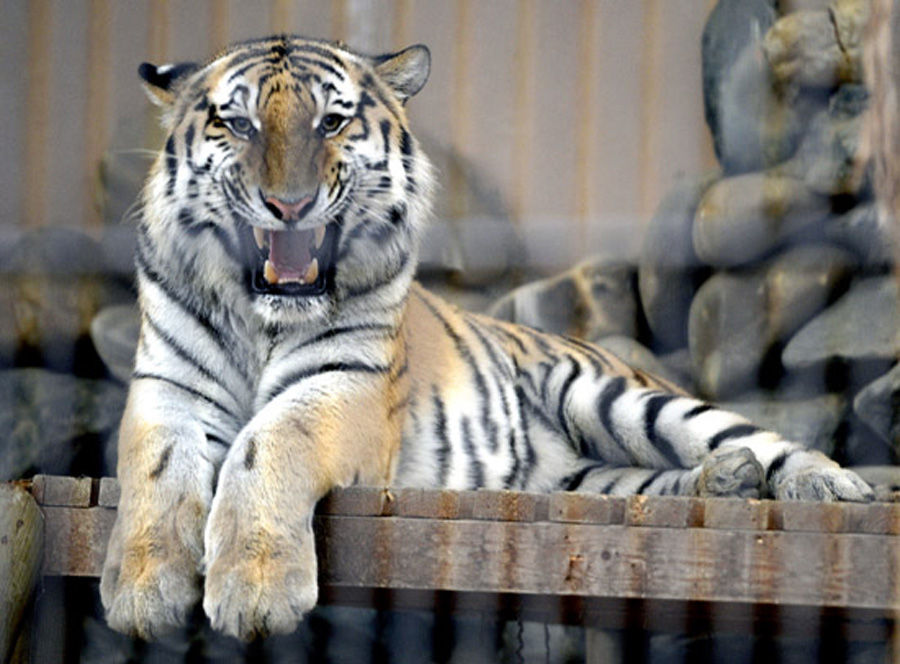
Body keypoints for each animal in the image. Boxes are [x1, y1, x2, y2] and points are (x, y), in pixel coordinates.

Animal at [100, 33, 880, 640]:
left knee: (753, 439)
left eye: (331, 124)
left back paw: (830, 487)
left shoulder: (342, 385)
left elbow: (267, 446)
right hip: (583, 476)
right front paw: (142, 594)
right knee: (644, 487)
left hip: (616, 397)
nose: (288, 205)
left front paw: (254, 594)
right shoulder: (168, 390)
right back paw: (726, 482)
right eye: (239, 125)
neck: (263, 316)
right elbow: (155, 474)